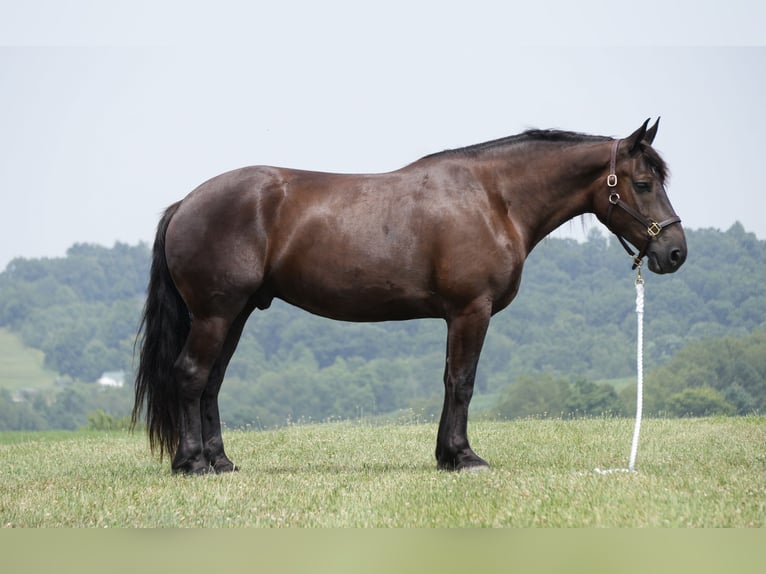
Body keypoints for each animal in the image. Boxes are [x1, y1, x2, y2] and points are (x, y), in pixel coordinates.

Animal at [132, 118, 686, 474]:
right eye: (643, 182)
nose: (676, 252)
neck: (493, 198)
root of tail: (186, 203)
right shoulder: (471, 311)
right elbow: (462, 382)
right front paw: (464, 458)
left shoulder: (456, 316)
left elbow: (449, 382)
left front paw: (446, 456)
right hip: (215, 314)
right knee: (191, 375)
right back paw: (192, 463)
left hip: (237, 314)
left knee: (211, 382)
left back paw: (221, 461)